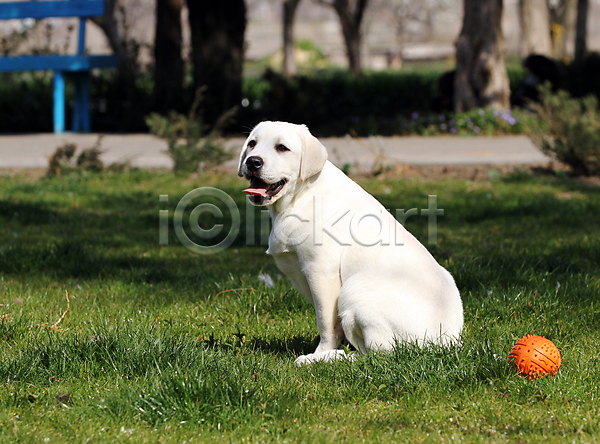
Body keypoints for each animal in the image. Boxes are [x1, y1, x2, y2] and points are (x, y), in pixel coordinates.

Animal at [239, 120, 464, 364]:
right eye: (252, 144)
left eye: (282, 148)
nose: (253, 161)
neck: (301, 195)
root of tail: (445, 343)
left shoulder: (321, 271)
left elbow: (325, 322)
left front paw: (320, 352)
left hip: (356, 287)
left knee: (376, 355)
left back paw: (324, 358)